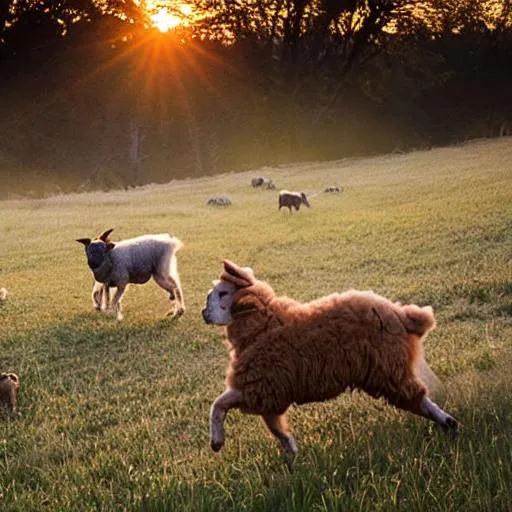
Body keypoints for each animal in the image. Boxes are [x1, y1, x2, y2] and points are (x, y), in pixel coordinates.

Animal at [202, 262, 458, 466]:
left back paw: (448, 422)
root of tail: (402, 314)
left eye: (223, 293)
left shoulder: (257, 387)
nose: (204, 312)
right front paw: (292, 457)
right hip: (389, 373)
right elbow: (277, 430)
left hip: (389, 370)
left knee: (418, 398)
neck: (264, 322)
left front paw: (216, 442)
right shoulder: (269, 395)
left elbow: (218, 405)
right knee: (415, 398)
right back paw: (450, 425)